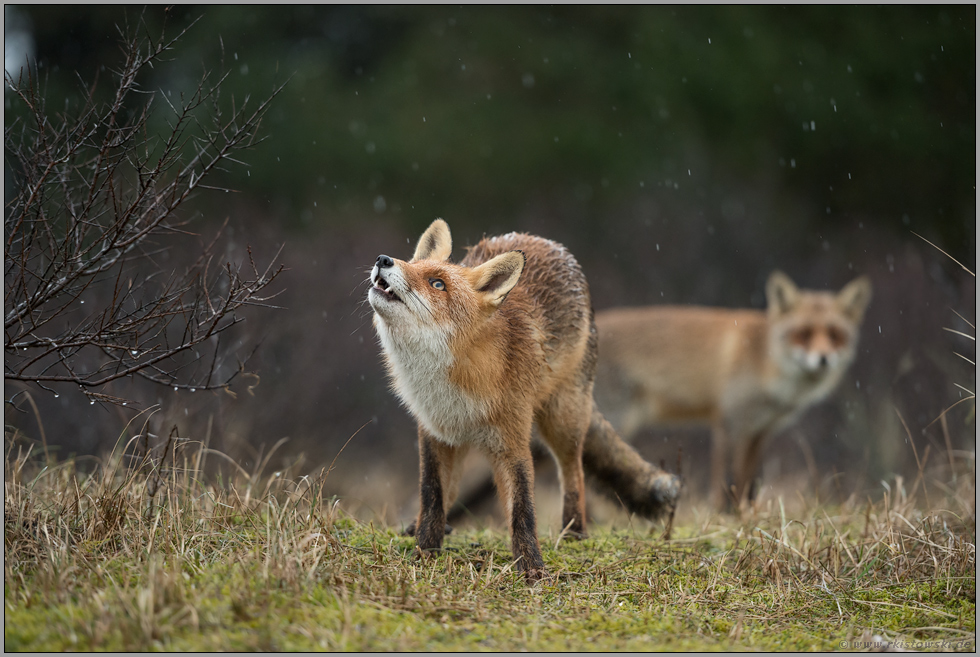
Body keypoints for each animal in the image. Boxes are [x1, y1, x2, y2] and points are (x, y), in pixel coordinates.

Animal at [368, 220, 680, 580]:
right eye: (412, 264)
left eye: (437, 284)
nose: (384, 260)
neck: (458, 379)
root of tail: (546, 242)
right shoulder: (434, 433)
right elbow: (432, 495)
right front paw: (425, 548)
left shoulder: (513, 440)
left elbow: (522, 508)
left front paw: (532, 569)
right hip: (463, 443)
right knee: (453, 489)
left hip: (563, 419)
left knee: (574, 472)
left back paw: (574, 532)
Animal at [592, 270, 868, 510]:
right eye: (803, 334)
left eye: (835, 335)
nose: (824, 359)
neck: (764, 360)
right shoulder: (729, 421)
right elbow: (724, 477)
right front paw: (722, 513)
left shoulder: (760, 431)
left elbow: (748, 478)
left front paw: (744, 511)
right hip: (616, 422)